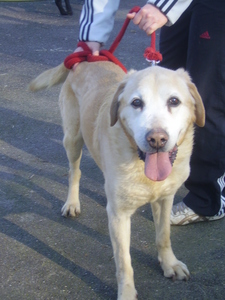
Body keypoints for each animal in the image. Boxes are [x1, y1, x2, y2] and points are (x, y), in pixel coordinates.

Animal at [30, 61, 206, 300]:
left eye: (174, 101)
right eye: (136, 103)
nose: (157, 139)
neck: (141, 166)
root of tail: (84, 58)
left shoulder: (165, 199)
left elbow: (163, 236)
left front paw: (170, 264)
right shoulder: (119, 215)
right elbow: (124, 261)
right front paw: (127, 292)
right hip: (73, 139)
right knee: (74, 172)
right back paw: (72, 202)